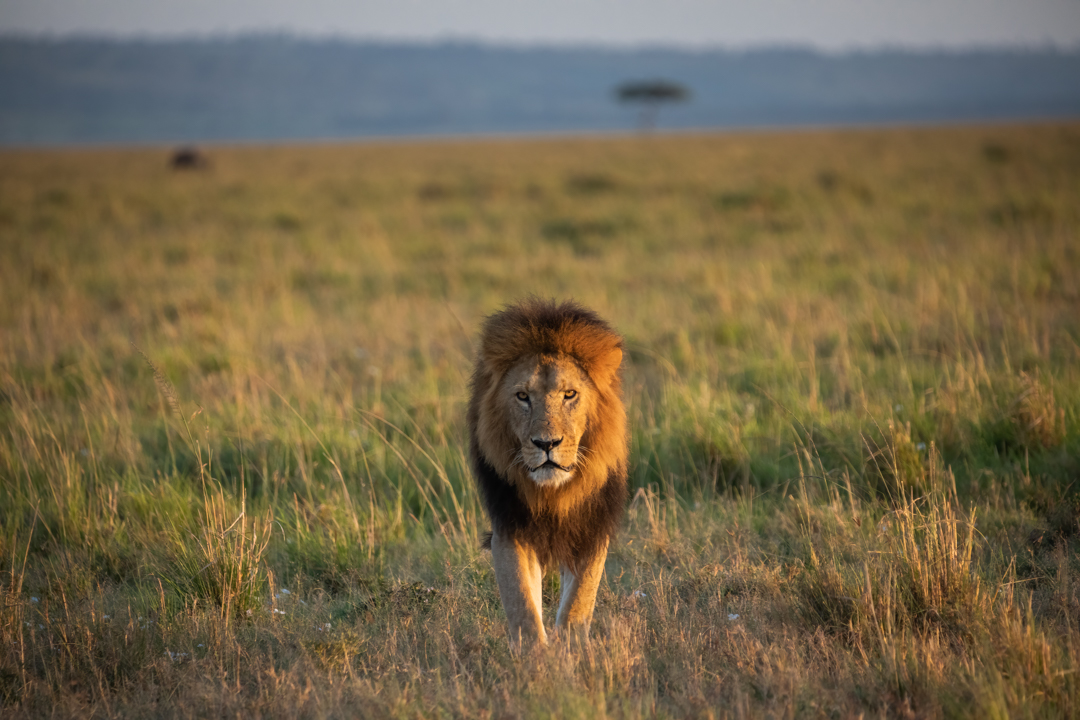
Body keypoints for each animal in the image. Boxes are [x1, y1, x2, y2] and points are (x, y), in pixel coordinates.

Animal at [466, 297, 630, 647]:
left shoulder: (591, 529)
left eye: (569, 394)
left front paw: (571, 650)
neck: (553, 493)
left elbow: (578, 603)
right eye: (522, 396)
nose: (546, 443)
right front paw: (535, 658)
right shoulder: (510, 528)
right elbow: (523, 605)